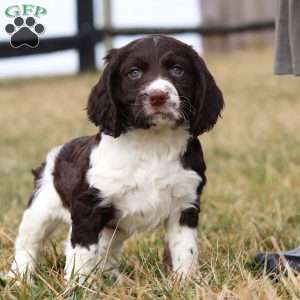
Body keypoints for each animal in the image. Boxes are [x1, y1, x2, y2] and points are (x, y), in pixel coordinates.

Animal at [8, 35, 224, 284]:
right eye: (134, 73)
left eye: (178, 70)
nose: (158, 96)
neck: (153, 143)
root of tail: (58, 151)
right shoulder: (88, 207)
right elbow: (82, 253)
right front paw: (80, 286)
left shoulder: (185, 204)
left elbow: (185, 249)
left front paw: (187, 282)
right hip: (41, 208)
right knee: (27, 243)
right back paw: (18, 278)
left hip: (114, 228)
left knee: (106, 250)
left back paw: (113, 278)